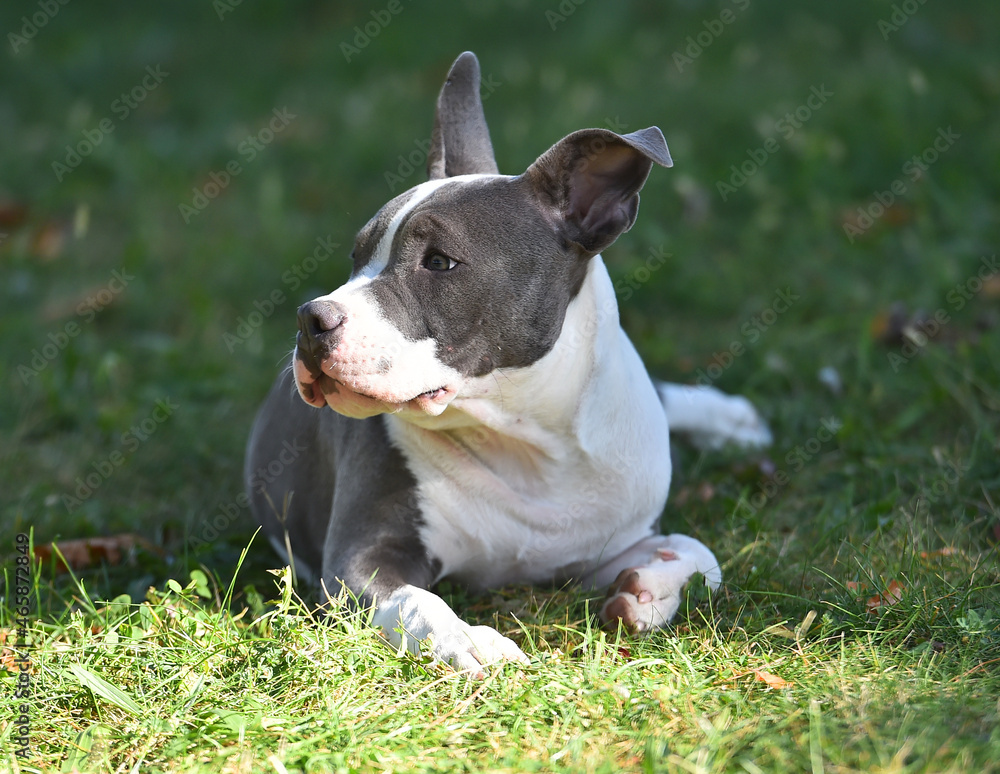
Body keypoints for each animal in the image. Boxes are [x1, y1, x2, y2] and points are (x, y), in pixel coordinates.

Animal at [244, 53, 772, 672]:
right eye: (355, 259)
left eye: (440, 262)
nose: (312, 318)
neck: (525, 440)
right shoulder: (358, 562)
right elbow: (418, 601)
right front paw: (468, 640)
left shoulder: (608, 538)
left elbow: (702, 552)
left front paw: (648, 591)